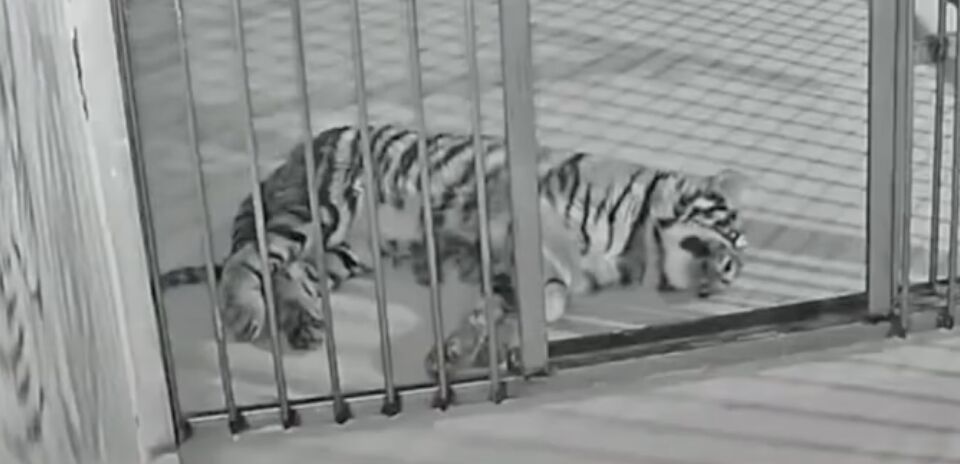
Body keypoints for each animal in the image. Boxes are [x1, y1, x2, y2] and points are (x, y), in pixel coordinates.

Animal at [158, 123, 748, 355]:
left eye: (736, 270)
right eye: (726, 228)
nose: (726, 272)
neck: (638, 251)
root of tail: (293, 153)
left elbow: (524, 304)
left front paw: (465, 348)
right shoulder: (531, 213)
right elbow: (544, 289)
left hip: (344, 252)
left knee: (287, 271)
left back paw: (302, 324)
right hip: (320, 208)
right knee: (247, 256)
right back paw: (244, 315)